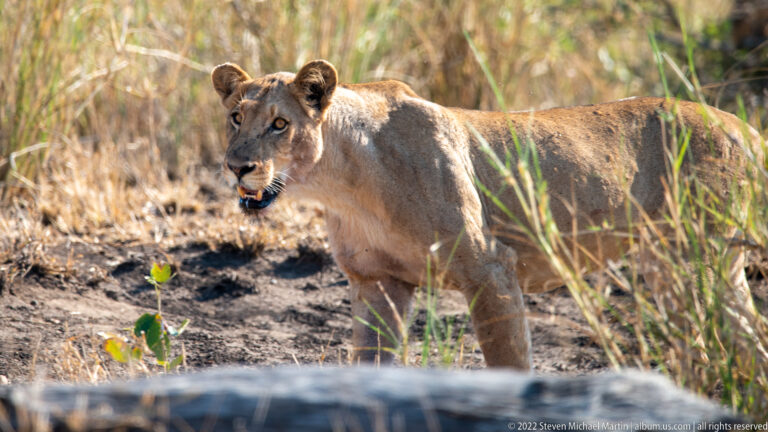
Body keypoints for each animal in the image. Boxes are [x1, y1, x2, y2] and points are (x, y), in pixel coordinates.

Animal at [211, 59, 762, 370]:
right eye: (236, 117)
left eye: (280, 124)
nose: (238, 166)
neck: (343, 183)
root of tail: (744, 126)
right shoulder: (377, 282)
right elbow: (369, 364)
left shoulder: (490, 267)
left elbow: (509, 362)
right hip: (672, 265)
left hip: (697, 259)